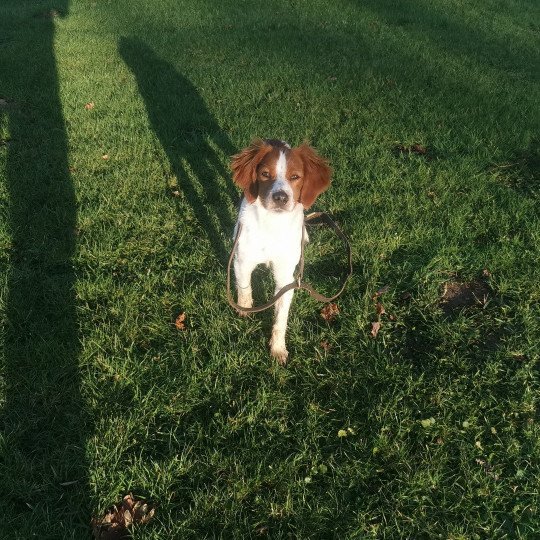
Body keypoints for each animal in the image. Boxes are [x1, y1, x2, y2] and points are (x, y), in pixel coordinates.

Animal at [230, 138, 332, 362]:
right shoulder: (242, 261)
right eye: (265, 174)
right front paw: (245, 310)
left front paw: (277, 348)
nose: (280, 197)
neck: (272, 225)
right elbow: (244, 288)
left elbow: (281, 319)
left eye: (295, 177)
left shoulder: (286, 278)